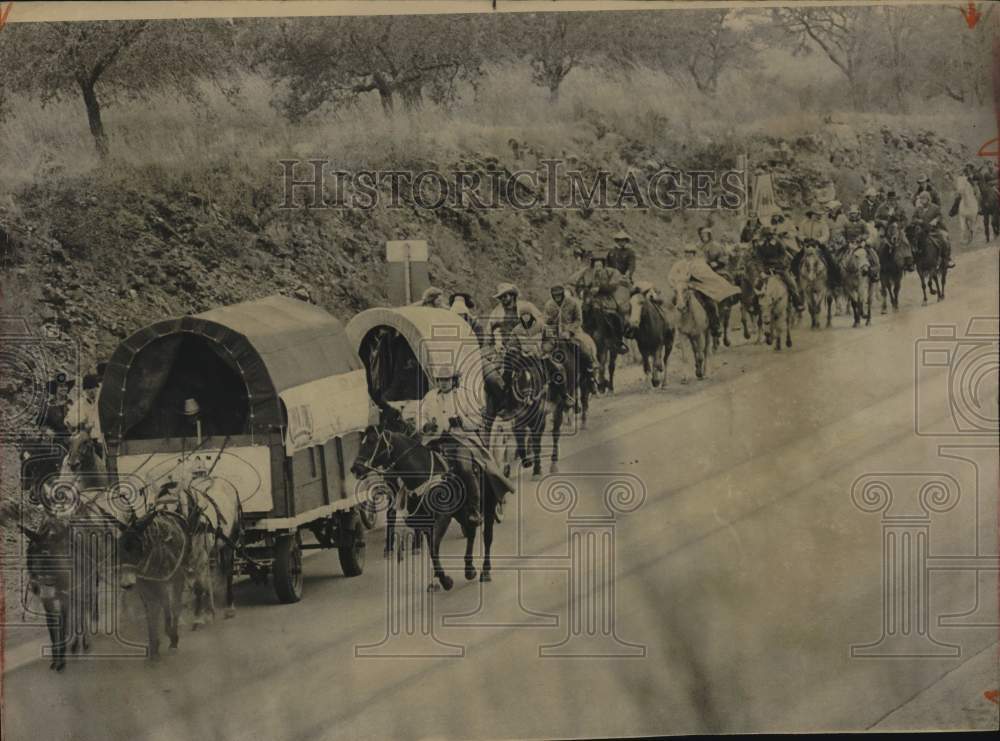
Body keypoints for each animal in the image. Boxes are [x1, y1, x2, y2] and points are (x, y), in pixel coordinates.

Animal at [352, 422, 500, 588]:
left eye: (372, 440)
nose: (355, 468)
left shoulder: (443, 518)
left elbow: (434, 547)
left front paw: (445, 580)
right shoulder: (426, 521)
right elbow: (431, 547)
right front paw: (440, 577)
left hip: (488, 507)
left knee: (487, 537)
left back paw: (485, 571)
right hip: (462, 512)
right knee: (471, 532)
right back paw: (469, 570)